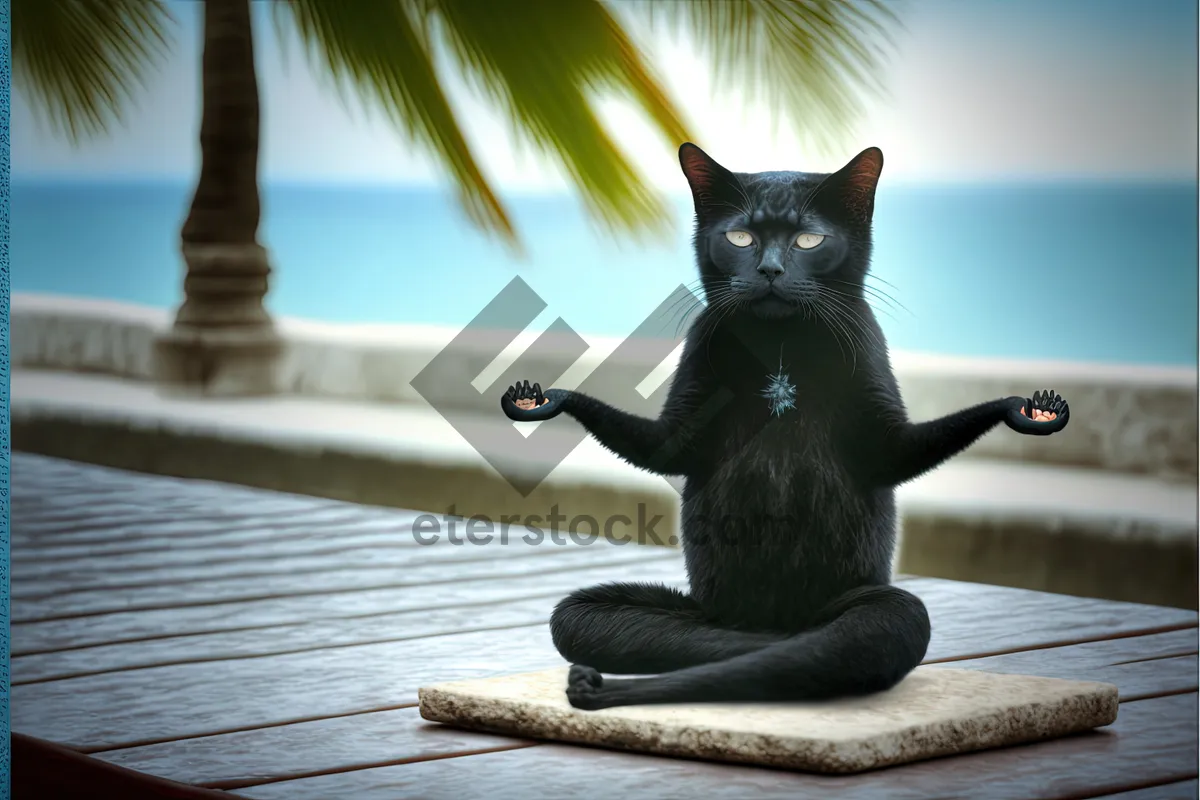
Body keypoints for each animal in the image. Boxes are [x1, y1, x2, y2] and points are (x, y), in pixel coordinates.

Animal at [496, 142, 1070, 705]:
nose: (770, 269)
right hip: (615, 610)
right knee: (701, 640)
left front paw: (1031, 409)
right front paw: (538, 399)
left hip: (886, 604)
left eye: (808, 239)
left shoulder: (877, 403)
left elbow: (901, 448)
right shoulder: (690, 392)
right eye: (741, 236)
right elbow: (659, 446)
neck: (781, 345)